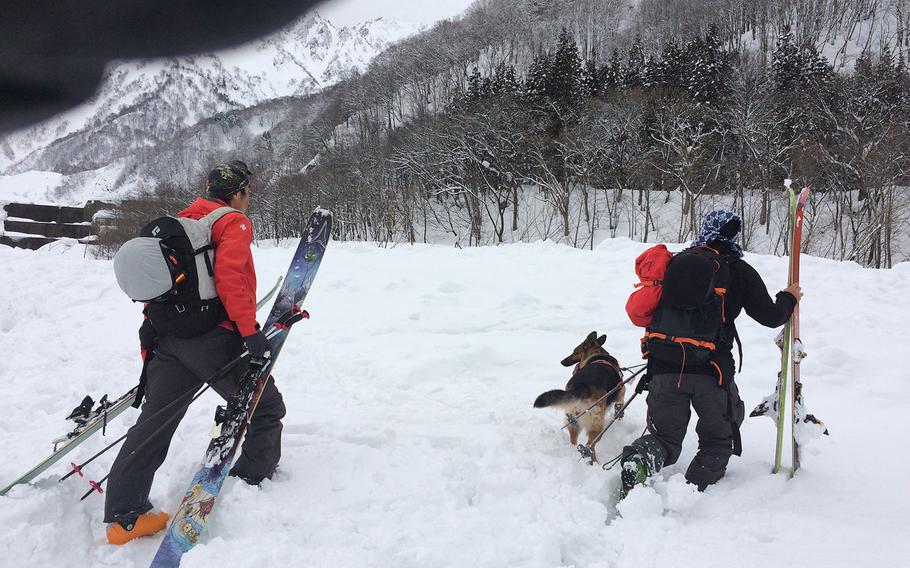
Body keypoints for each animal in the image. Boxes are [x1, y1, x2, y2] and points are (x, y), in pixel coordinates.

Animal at [536, 330, 628, 464]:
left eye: (574, 351)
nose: (562, 362)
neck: (598, 354)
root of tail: (582, 387)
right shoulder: (620, 395)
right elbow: (619, 408)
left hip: (572, 421)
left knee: (574, 441)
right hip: (597, 427)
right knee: (590, 446)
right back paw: (593, 463)